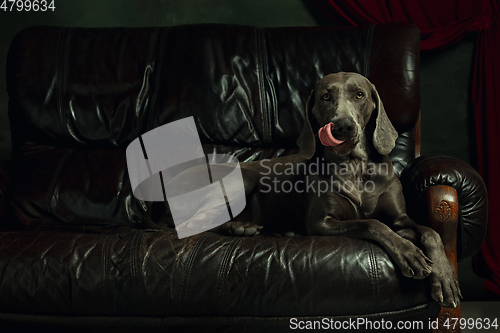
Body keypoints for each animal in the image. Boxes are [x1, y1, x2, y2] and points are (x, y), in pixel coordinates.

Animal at [146, 72, 462, 308]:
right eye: (325, 96)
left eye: (359, 95)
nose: (343, 126)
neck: (354, 167)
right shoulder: (321, 222)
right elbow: (372, 223)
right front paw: (408, 253)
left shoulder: (400, 217)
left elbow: (430, 232)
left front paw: (445, 277)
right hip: (241, 179)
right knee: (190, 226)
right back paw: (240, 228)